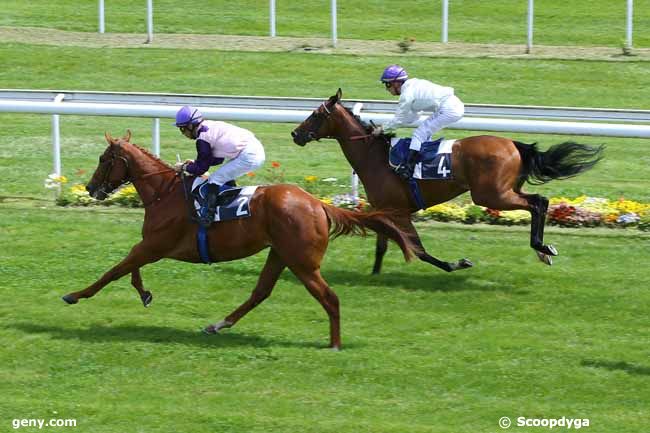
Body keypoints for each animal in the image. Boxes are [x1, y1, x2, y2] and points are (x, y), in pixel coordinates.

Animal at [62, 129, 416, 348]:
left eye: (104, 160)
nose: (91, 189)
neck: (165, 193)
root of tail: (319, 204)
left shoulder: (154, 245)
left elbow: (114, 271)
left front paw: (75, 295)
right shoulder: (150, 246)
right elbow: (128, 270)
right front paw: (145, 294)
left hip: (302, 263)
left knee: (329, 298)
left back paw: (335, 344)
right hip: (280, 254)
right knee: (260, 292)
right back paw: (218, 325)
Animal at [290, 89, 604, 272]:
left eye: (316, 114)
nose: (295, 134)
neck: (375, 158)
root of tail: (514, 144)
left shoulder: (400, 212)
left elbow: (419, 250)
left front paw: (457, 264)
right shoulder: (386, 210)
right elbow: (382, 246)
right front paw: (374, 274)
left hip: (490, 195)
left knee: (538, 202)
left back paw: (542, 247)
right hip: (505, 189)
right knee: (538, 202)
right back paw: (543, 251)